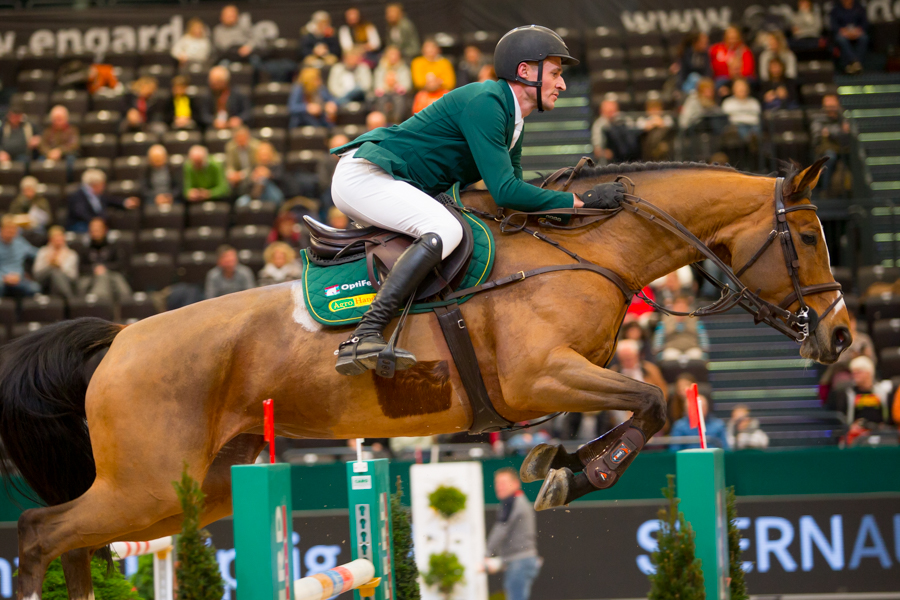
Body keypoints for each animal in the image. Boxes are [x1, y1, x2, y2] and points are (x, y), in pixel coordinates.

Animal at [0, 159, 850, 600]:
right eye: (810, 238)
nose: (841, 338)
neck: (587, 249)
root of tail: (121, 338)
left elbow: (646, 405)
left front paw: (560, 465)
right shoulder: (542, 379)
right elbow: (655, 398)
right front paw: (573, 472)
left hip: (195, 488)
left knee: (79, 540)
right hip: (145, 484)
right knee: (41, 530)